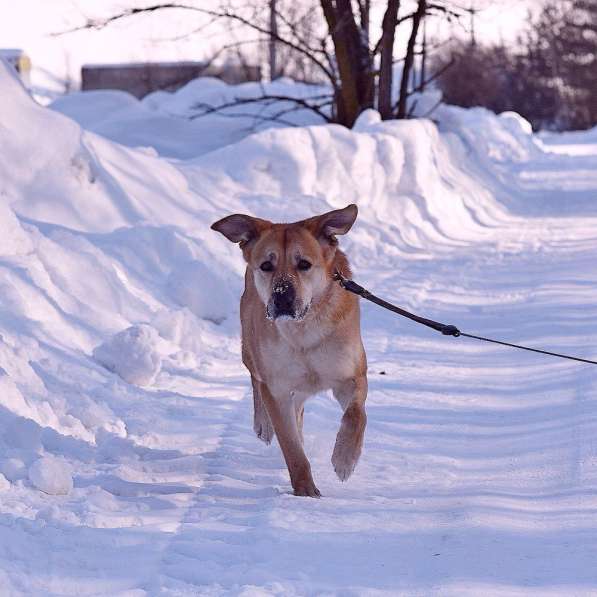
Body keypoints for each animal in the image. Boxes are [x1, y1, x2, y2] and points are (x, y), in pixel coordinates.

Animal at [212, 205, 366, 498]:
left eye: (304, 264)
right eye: (266, 265)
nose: (282, 295)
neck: (303, 332)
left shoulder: (351, 376)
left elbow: (356, 415)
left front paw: (344, 459)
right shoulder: (277, 388)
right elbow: (292, 449)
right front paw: (305, 490)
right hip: (251, 349)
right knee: (256, 380)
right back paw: (264, 424)